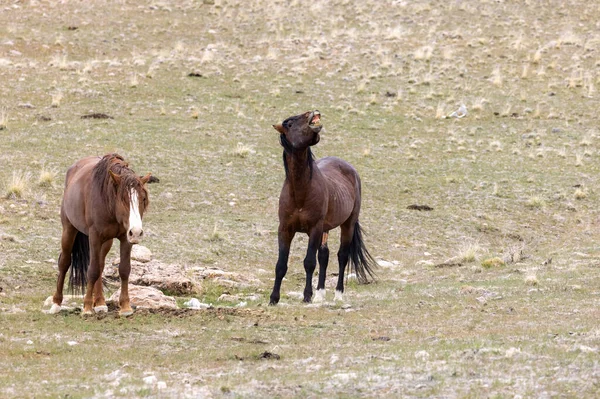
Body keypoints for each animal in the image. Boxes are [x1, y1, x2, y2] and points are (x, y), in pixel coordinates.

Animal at [50, 155, 152, 318]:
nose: (136, 232)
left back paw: (100, 303)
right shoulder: (95, 237)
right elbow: (92, 270)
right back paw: (56, 303)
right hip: (69, 230)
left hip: (106, 241)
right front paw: (86, 307)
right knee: (65, 262)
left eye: (143, 199)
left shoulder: (125, 238)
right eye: (123, 199)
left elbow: (124, 269)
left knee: (100, 264)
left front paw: (125, 306)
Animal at [268, 111, 376, 304]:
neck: (300, 191)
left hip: (347, 224)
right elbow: (281, 265)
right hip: (326, 229)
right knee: (324, 255)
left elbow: (309, 262)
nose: (313, 113)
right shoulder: (285, 229)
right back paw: (320, 294)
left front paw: (307, 296)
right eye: (290, 123)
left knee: (342, 256)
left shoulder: (315, 229)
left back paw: (338, 293)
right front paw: (274, 298)